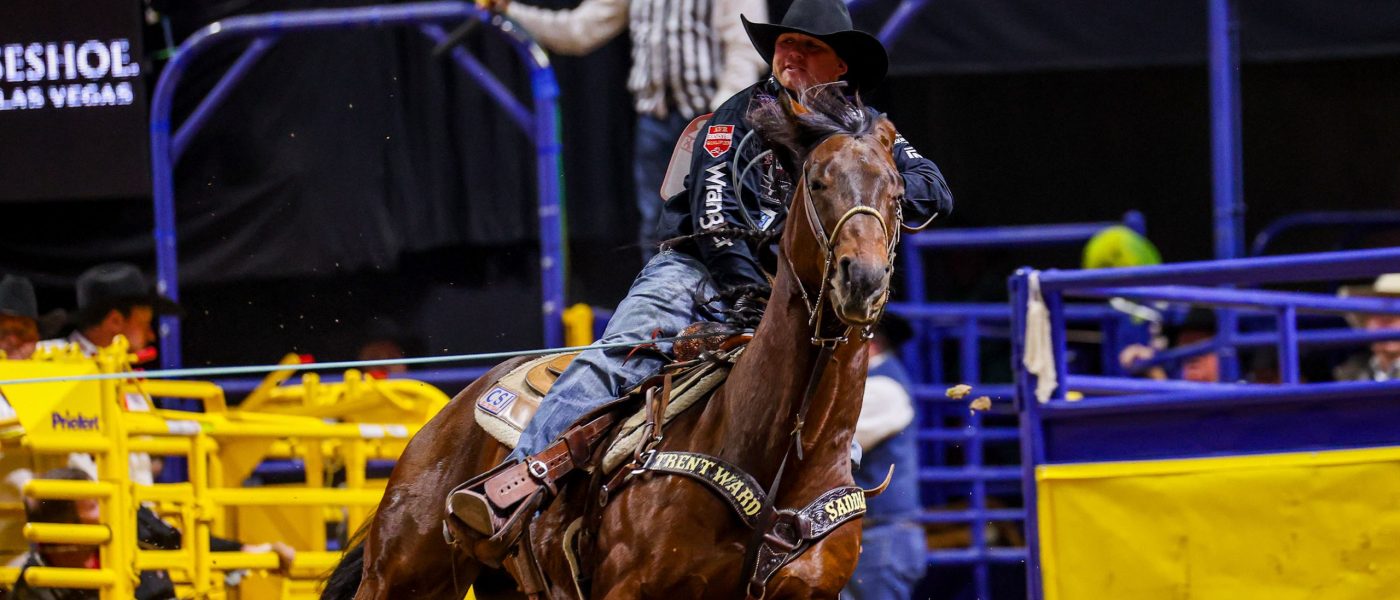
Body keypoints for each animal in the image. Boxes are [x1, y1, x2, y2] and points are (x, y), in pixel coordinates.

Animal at [322, 87, 908, 600]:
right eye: (816, 181)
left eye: (897, 193)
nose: (862, 279)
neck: (775, 457)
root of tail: (452, 410)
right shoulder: (629, 588)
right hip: (402, 574)